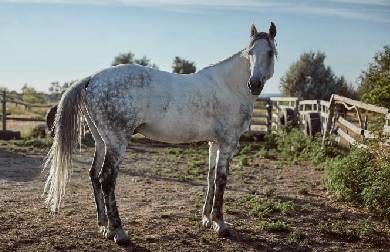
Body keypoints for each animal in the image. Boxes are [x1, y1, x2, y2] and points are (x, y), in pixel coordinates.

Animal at [44, 23, 278, 244]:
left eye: (270, 52)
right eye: (250, 52)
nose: (254, 84)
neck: (229, 86)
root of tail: (91, 79)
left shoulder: (214, 143)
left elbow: (211, 177)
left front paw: (206, 219)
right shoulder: (228, 142)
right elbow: (221, 180)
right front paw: (220, 224)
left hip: (102, 142)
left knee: (94, 175)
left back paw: (104, 226)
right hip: (117, 143)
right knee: (107, 180)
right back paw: (119, 232)